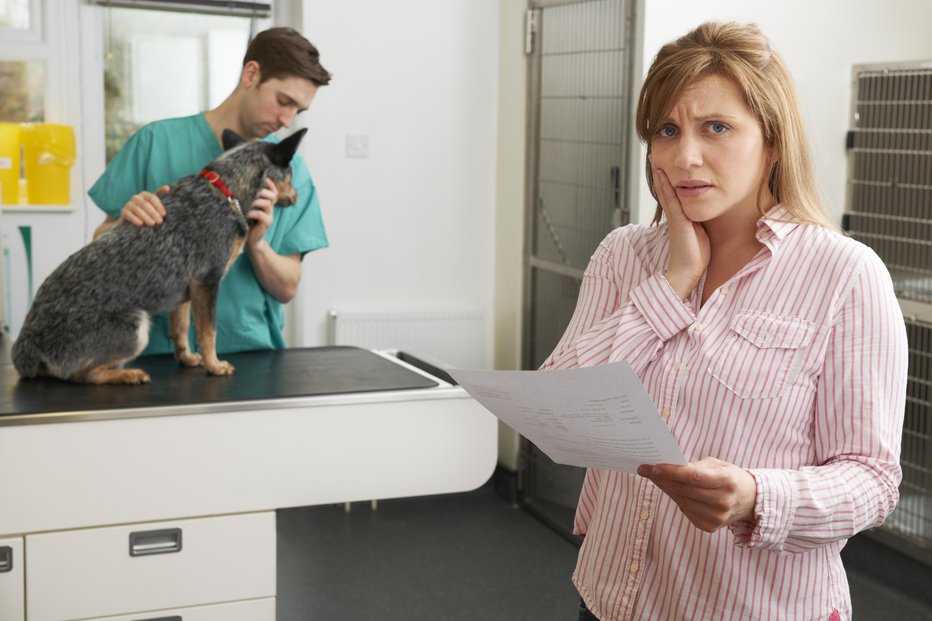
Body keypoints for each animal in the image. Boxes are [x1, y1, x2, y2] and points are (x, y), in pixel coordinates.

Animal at [11, 127, 310, 382]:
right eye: (291, 174)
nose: (298, 196)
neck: (227, 192)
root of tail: (26, 343)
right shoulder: (207, 281)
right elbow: (209, 332)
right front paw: (214, 366)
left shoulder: (185, 292)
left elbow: (181, 330)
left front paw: (188, 358)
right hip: (137, 328)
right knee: (83, 375)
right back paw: (127, 374)